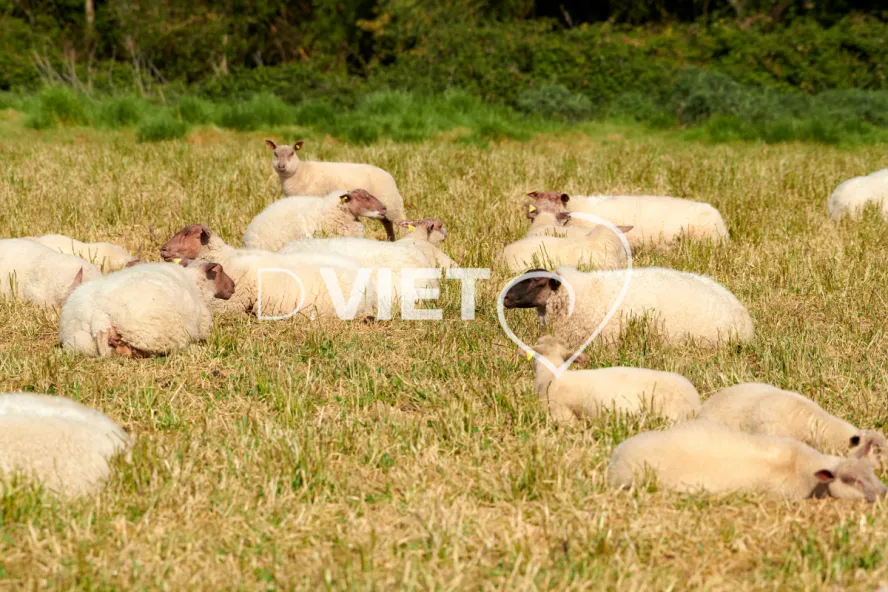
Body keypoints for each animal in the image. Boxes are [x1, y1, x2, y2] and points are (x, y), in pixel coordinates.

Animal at [60, 260, 235, 358]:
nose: (233, 286)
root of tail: (99, 317)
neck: (196, 283)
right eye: (220, 271)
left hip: (81, 342)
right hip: (149, 337)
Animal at [266, 139, 406, 223]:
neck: (300, 172)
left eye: (292, 153)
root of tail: (390, 177)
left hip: (392, 206)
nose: (281, 166)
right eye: (275, 154)